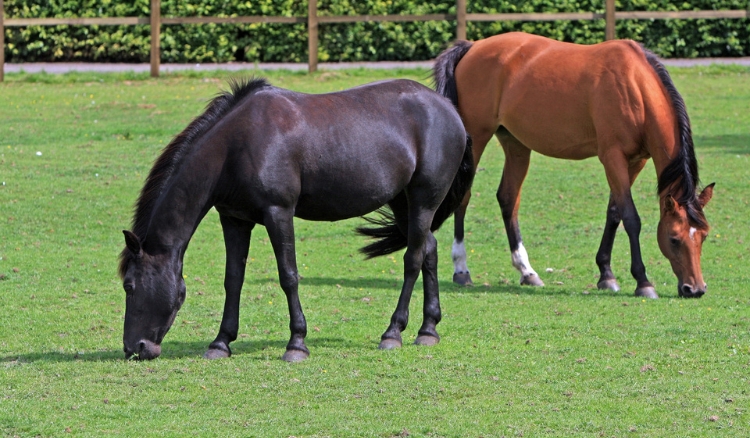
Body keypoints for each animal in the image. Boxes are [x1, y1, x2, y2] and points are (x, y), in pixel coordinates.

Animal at [117, 77, 472, 362]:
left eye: (129, 285)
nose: (135, 348)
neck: (236, 145)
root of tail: (447, 108)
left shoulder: (279, 212)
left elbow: (288, 276)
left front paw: (297, 344)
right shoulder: (234, 219)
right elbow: (233, 279)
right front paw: (221, 343)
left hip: (423, 200)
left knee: (412, 259)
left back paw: (393, 333)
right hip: (402, 203)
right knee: (428, 250)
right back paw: (428, 330)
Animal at [432, 32, 712, 300]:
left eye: (704, 235)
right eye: (674, 239)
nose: (695, 289)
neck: (635, 88)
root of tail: (473, 47)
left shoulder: (636, 161)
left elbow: (614, 212)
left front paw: (606, 275)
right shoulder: (613, 157)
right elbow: (630, 217)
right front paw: (643, 282)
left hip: (516, 144)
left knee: (508, 198)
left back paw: (527, 271)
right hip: (477, 137)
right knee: (464, 197)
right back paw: (461, 269)